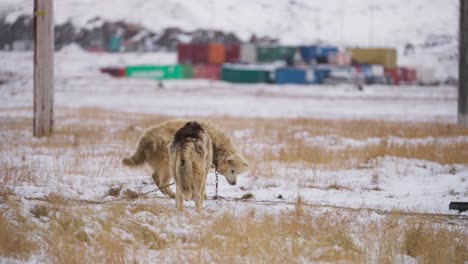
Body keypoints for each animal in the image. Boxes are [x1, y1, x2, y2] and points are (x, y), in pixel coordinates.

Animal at [122, 119, 250, 198]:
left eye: (239, 172)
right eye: (232, 170)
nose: (234, 183)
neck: (216, 144)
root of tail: (144, 139)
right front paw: (203, 195)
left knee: (155, 176)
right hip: (168, 160)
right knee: (162, 179)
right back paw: (171, 194)